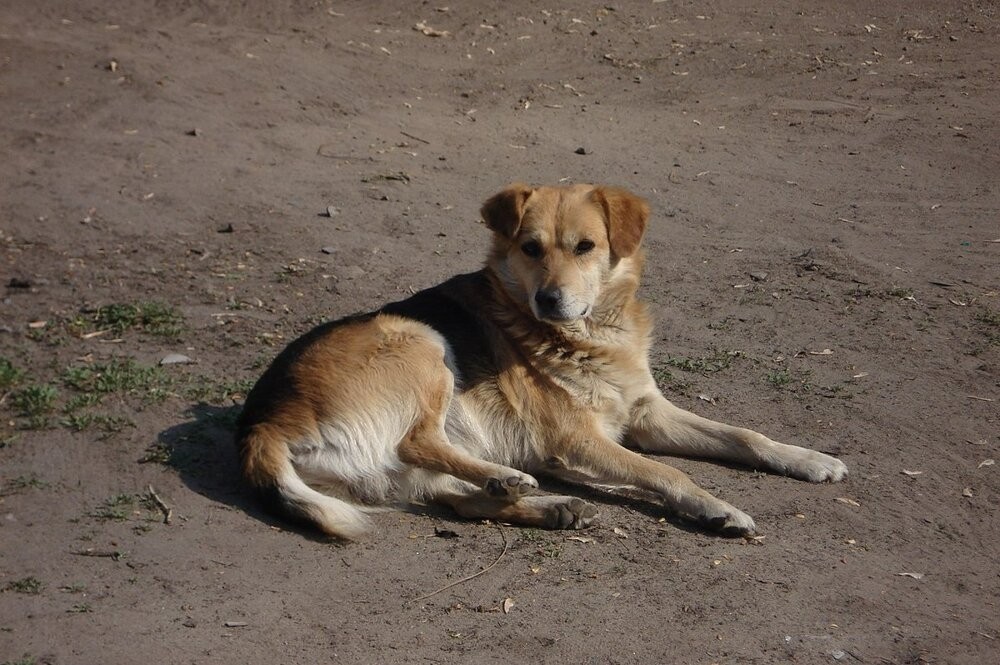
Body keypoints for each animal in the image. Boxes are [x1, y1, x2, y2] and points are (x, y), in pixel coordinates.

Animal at [234, 183, 844, 540]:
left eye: (586, 247)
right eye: (530, 248)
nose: (549, 300)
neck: (591, 334)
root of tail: (261, 423)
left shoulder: (646, 414)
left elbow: (744, 436)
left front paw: (809, 458)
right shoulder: (576, 440)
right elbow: (665, 471)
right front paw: (718, 506)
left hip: (401, 462)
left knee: (457, 501)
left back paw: (547, 506)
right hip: (422, 342)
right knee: (419, 441)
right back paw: (509, 479)